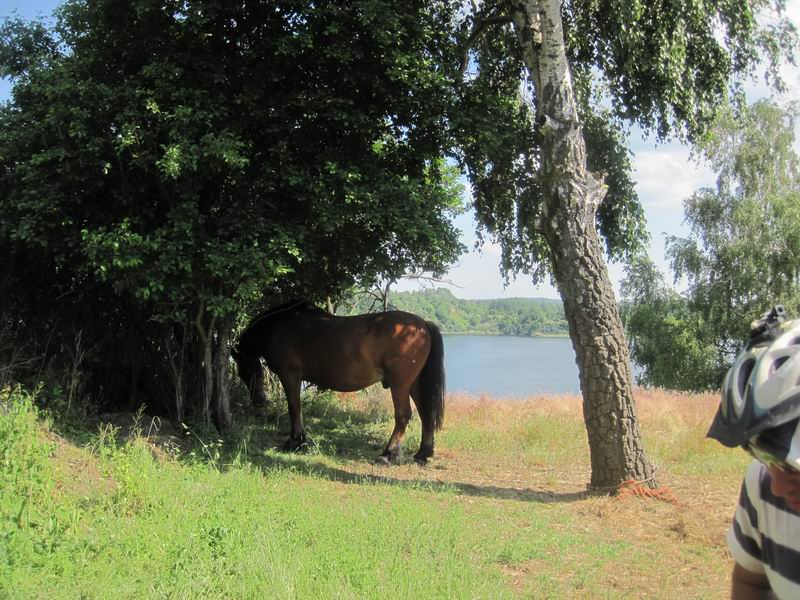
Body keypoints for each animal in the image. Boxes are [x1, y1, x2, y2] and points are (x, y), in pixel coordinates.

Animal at [231, 302, 446, 466]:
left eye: (244, 371)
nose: (259, 401)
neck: (280, 326)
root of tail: (422, 325)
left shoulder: (290, 375)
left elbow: (294, 407)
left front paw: (295, 442)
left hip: (399, 384)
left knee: (403, 415)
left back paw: (388, 454)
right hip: (414, 383)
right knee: (426, 414)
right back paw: (423, 454)